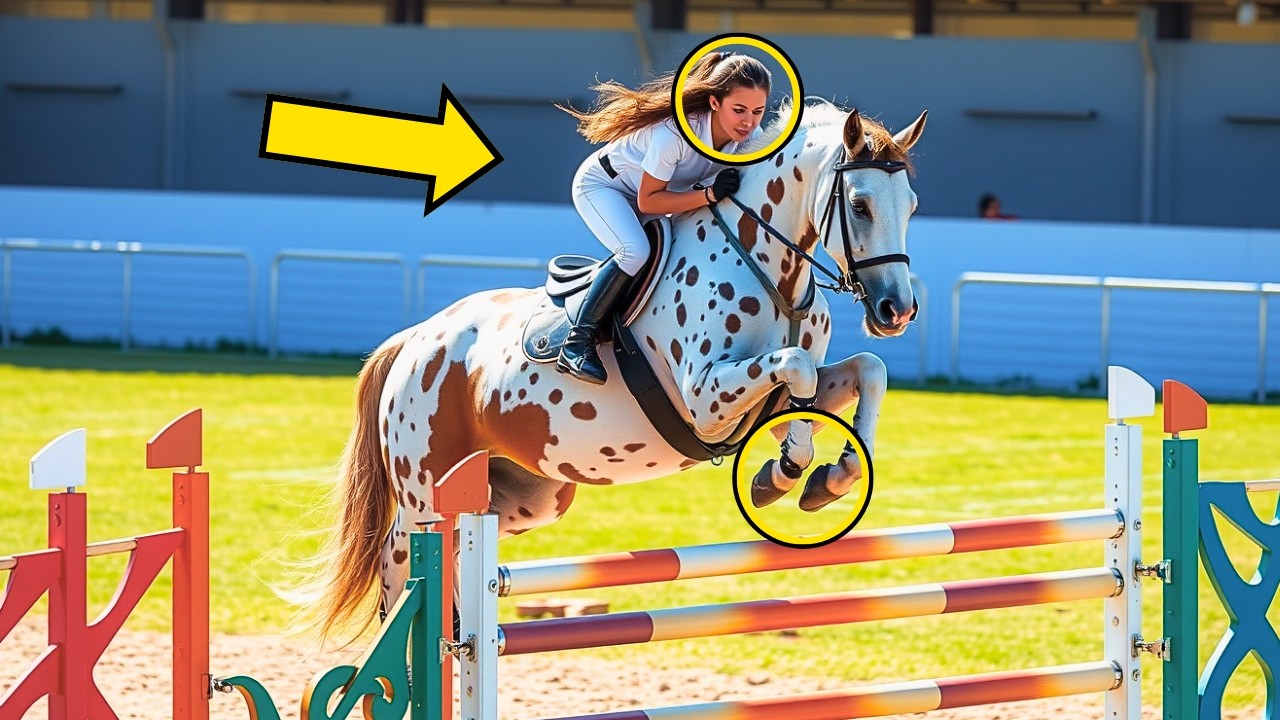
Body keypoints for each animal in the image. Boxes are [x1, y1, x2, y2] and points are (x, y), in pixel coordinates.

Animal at [309, 99, 927, 639]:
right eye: (861, 205)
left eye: (912, 205)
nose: (896, 311)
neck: (768, 268)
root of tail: (412, 341)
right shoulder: (705, 400)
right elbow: (797, 369)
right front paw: (783, 472)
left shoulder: (768, 391)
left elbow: (864, 371)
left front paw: (830, 476)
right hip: (424, 491)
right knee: (399, 557)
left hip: (525, 495)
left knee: (459, 549)